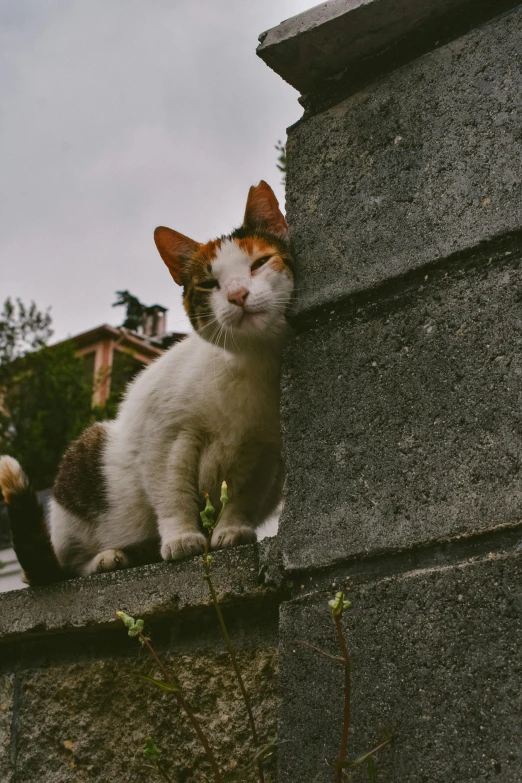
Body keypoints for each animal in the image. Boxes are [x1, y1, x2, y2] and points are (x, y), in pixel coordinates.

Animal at [0, 181, 292, 584]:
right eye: (209, 283)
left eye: (259, 263)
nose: (237, 295)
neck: (249, 364)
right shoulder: (165, 438)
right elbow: (173, 494)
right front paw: (182, 538)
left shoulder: (266, 455)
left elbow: (242, 498)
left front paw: (231, 529)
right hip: (86, 458)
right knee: (66, 568)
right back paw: (108, 558)